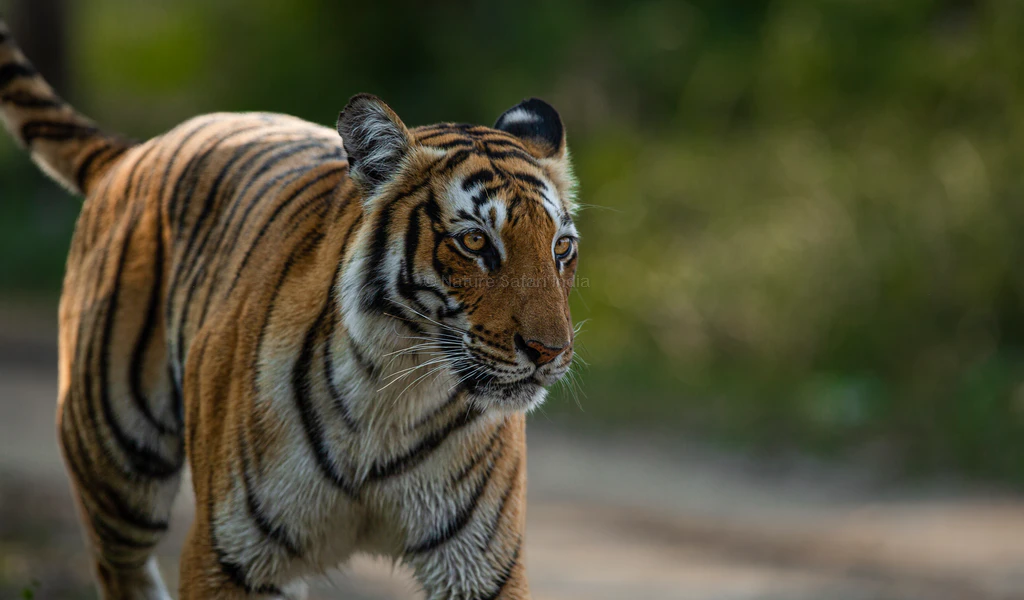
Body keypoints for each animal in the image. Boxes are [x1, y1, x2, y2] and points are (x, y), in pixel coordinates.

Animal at [0, 19, 580, 600]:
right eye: (475, 242)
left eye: (561, 248)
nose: (549, 351)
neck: (396, 396)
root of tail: (139, 151)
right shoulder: (229, 555)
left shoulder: (480, 564)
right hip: (115, 459)